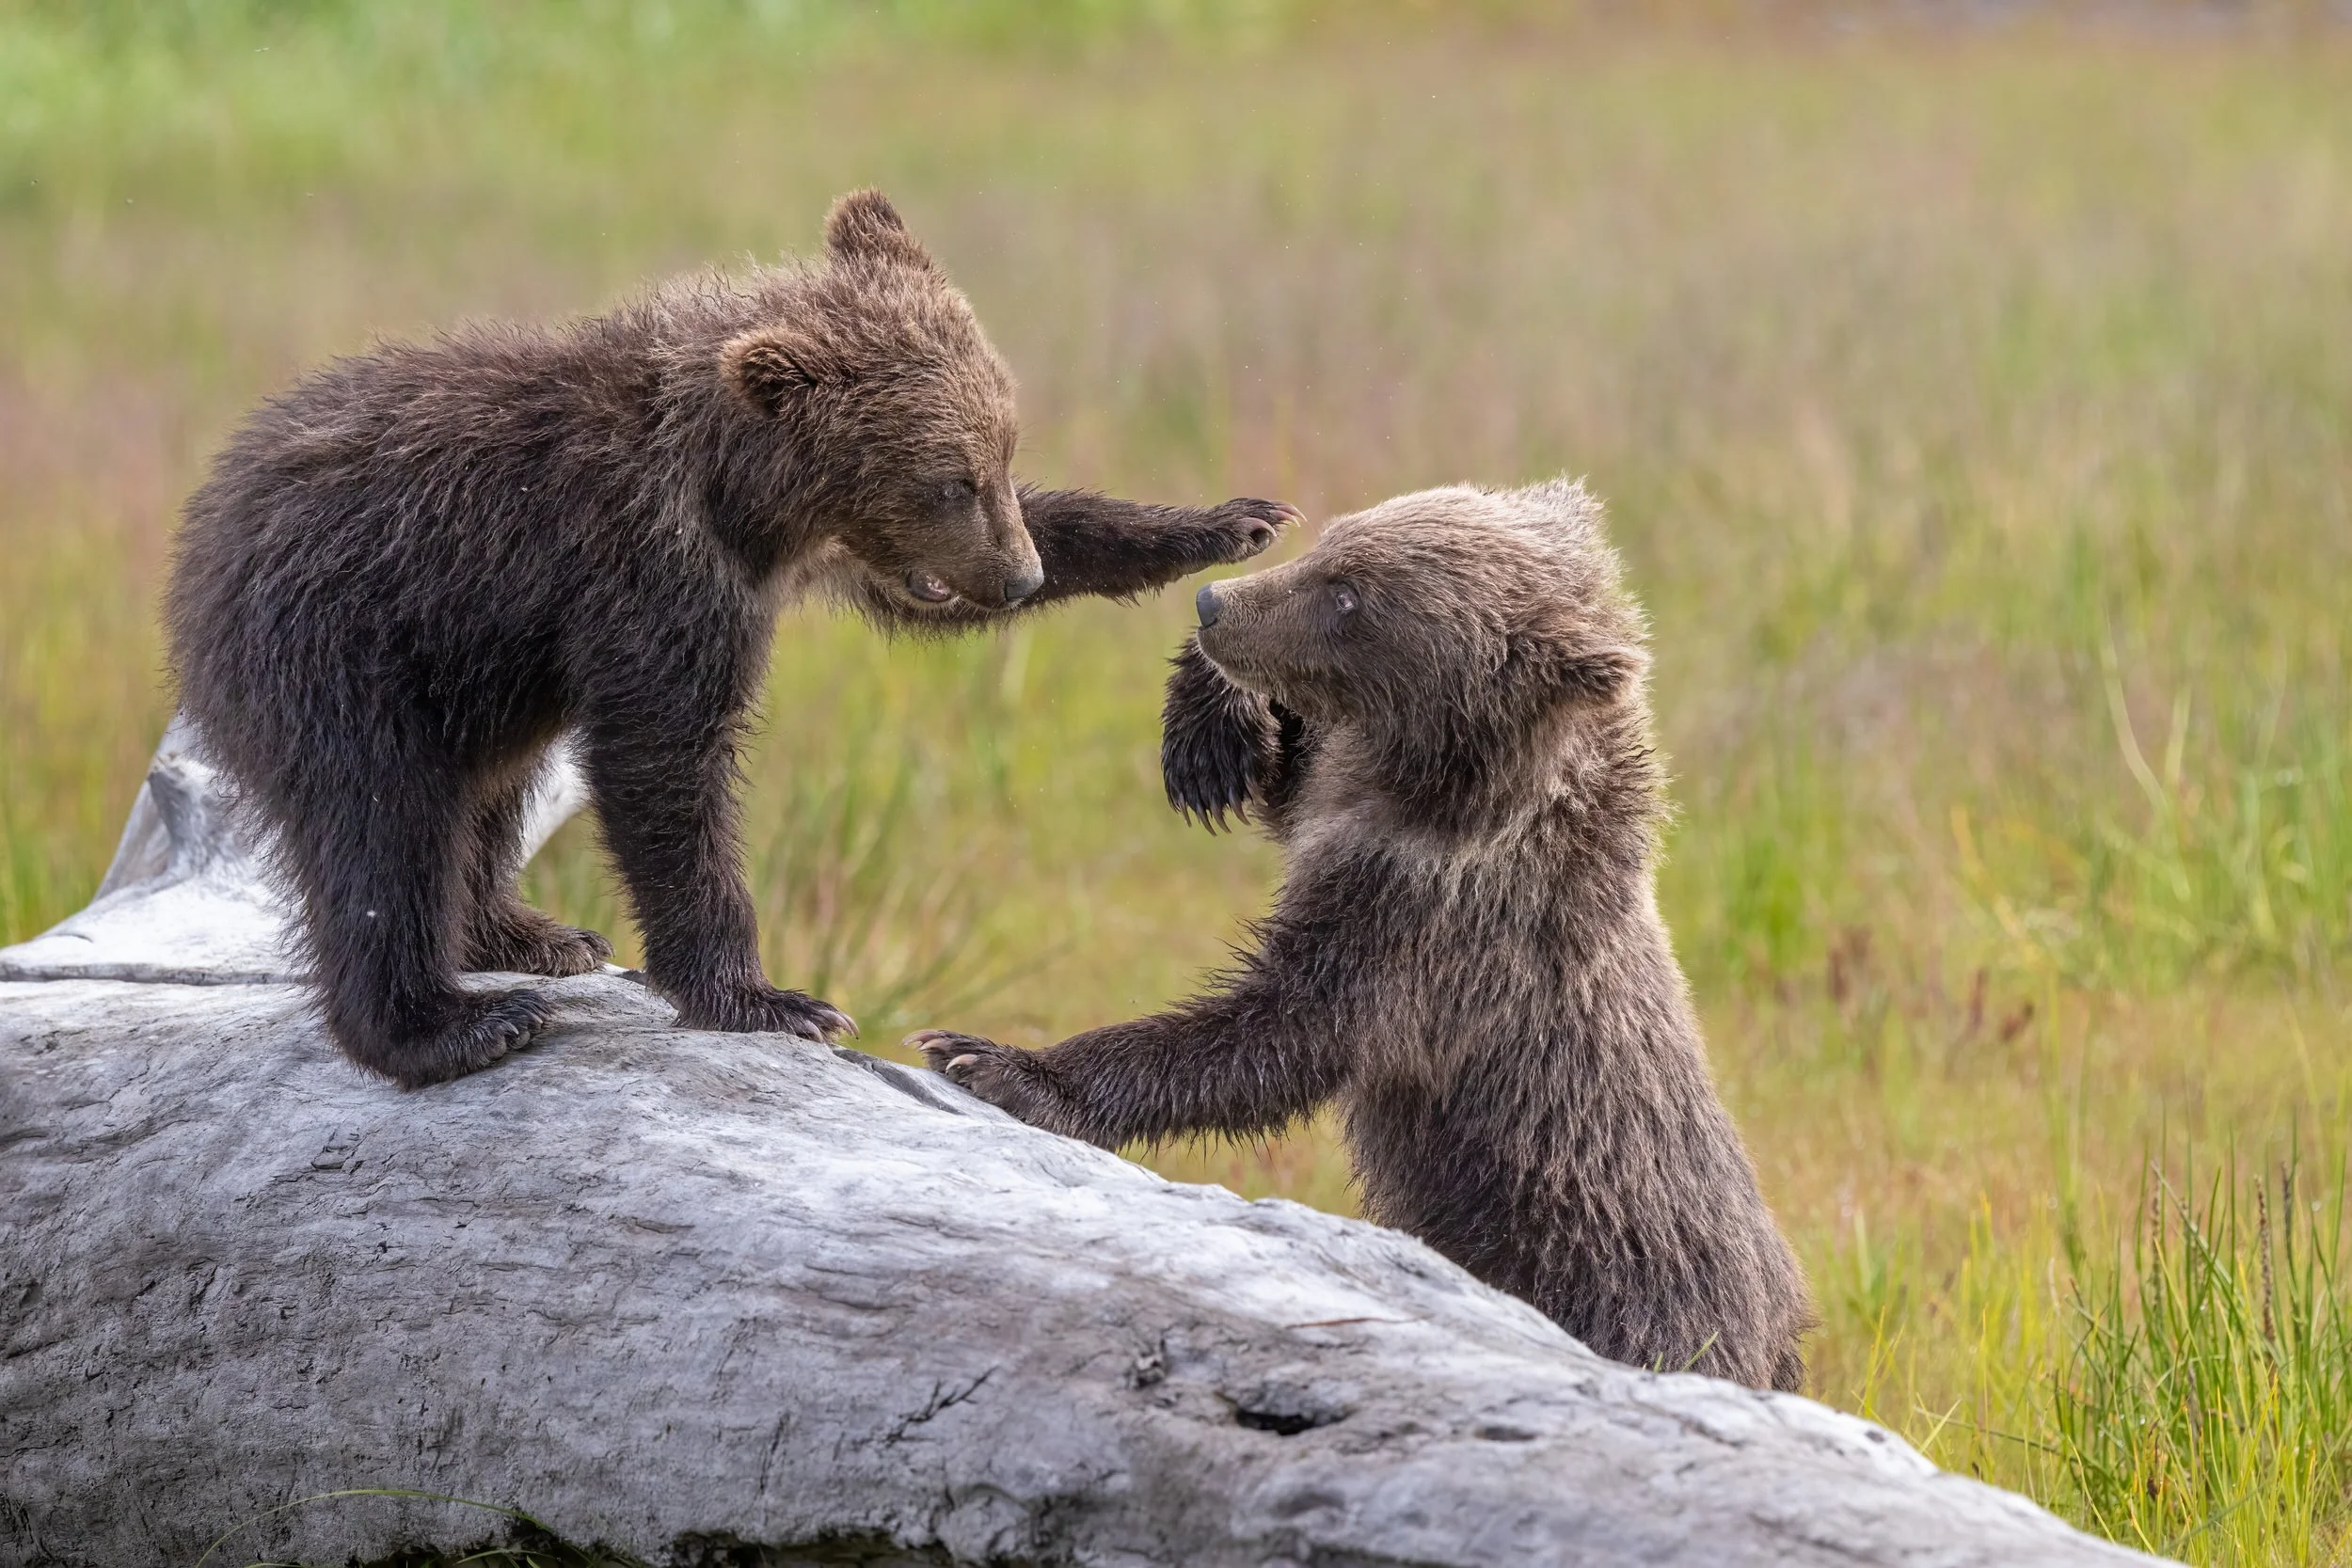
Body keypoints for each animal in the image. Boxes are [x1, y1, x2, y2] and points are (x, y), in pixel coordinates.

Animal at [166, 190, 1297, 1090]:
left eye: (1002, 453)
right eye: (947, 477)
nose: (1012, 573)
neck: (745, 500)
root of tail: (198, 541)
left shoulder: (824, 556)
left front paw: (1228, 520)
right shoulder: (654, 577)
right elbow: (667, 761)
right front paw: (775, 997)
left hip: (465, 679)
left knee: (484, 794)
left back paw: (531, 932)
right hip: (343, 646)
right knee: (379, 826)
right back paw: (453, 1021)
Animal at [914, 480, 1813, 1392]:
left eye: (1350, 597)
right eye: (1331, 546)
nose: (1213, 604)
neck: (1436, 803)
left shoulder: (1430, 934)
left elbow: (1269, 1035)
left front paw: (995, 1062)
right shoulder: (1346, 822)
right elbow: (1287, 793)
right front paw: (1211, 728)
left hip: (1614, 1282)